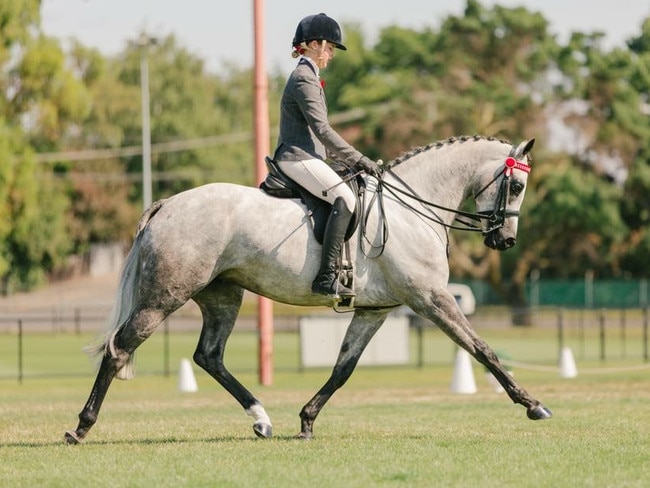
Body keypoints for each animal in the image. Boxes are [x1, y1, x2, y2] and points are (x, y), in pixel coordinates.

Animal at [64, 135, 552, 444]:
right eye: (517, 185)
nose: (505, 241)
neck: (411, 211)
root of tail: (168, 205)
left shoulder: (375, 310)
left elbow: (343, 368)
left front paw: (306, 420)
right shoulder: (431, 299)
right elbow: (483, 350)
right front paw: (532, 404)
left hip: (222, 295)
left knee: (209, 356)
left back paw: (262, 420)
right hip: (164, 297)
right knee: (120, 349)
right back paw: (81, 427)